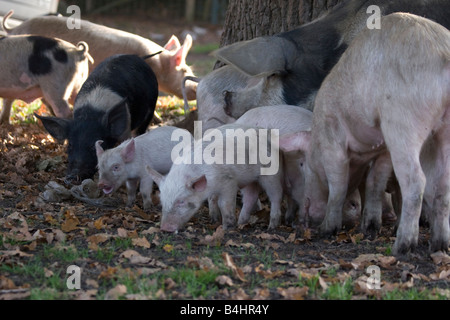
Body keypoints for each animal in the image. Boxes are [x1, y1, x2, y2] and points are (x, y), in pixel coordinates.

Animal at [35, 53, 159, 184]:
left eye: (93, 147)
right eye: (70, 145)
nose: (72, 177)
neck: (91, 114)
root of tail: (138, 57)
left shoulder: (126, 130)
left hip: (152, 105)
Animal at [146, 123, 284, 232]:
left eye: (181, 201)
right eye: (162, 200)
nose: (164, 228)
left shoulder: (229, 181)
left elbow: (223, 203)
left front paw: (227, 227)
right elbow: (212, 200)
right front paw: (214, 219)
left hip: (271, 174)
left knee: (276, 196)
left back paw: (271, 227)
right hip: (250, 180)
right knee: (251, 197)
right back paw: (241, 223)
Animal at [280, 12, 450, 256]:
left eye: (306, 164)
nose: (304, 220)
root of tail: (443, 51)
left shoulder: (333, 142)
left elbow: (338, 188)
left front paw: (326, 230)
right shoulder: (382, 150)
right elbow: (374, 184)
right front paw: (368, 229)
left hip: (403, 121)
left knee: (416, 180)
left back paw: (401, 247)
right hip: (445, 128)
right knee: (444, 184)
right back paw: (439, 246)